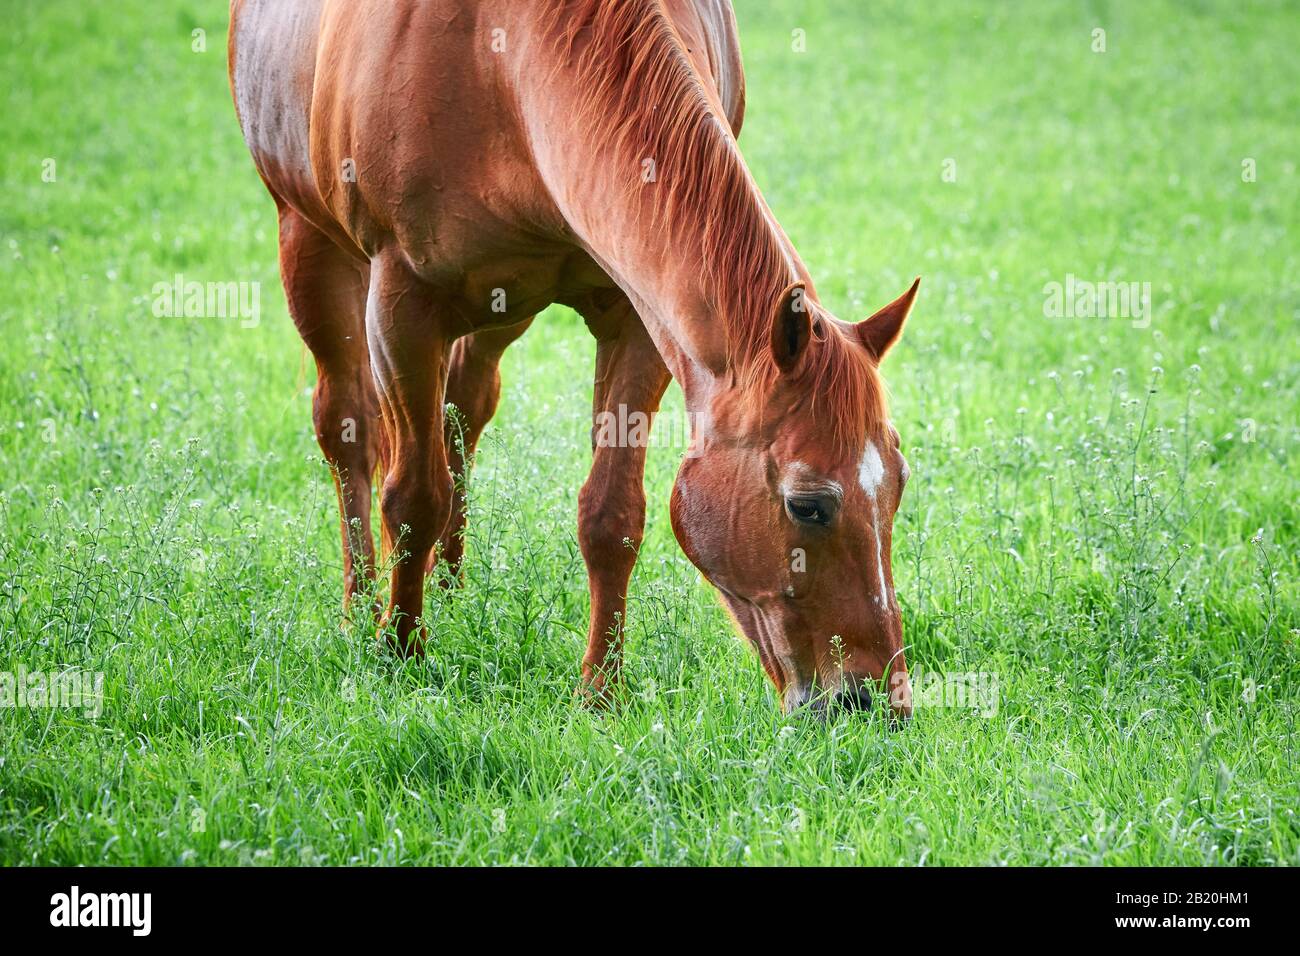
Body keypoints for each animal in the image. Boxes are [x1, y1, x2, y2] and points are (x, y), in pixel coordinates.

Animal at [228, 0, 920, 717]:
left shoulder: (636, 317)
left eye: (898, 486)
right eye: (808, 505)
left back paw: (449, 589)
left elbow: (612, 513)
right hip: (309, 245)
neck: (498, 59)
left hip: (501, 307)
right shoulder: (401, 300)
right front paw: (400, 657)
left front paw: (600, 692)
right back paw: (361, 604)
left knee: (462, 410)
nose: (877, 702)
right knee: (350, 429)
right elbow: (413, 496)